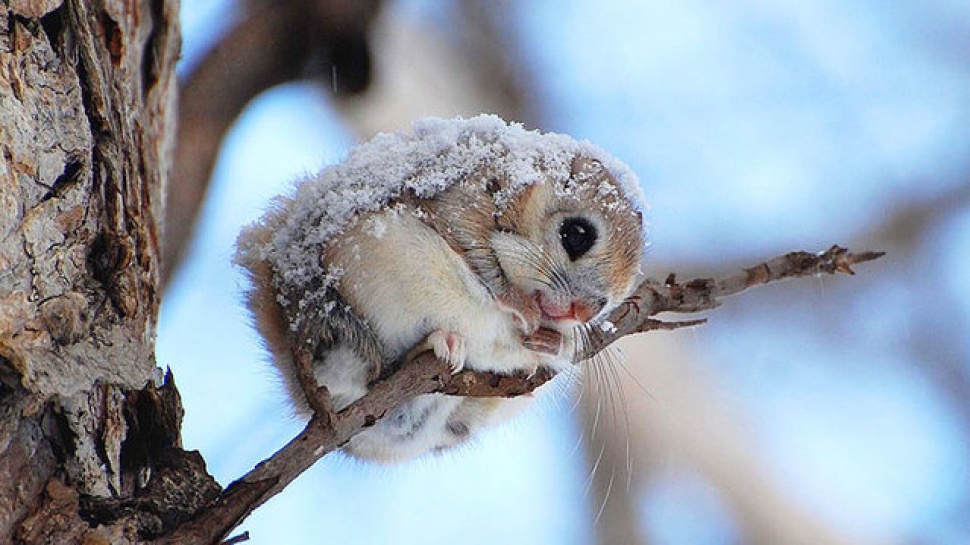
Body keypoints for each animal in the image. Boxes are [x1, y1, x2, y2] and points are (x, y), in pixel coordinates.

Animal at [233, 113, 644, 460]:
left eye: (612, 301)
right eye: (576, 234)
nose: (584, 311)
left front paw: (557, 341)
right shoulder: (460, 201)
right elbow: (481, 258)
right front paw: (519, 305)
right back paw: (436, 344)